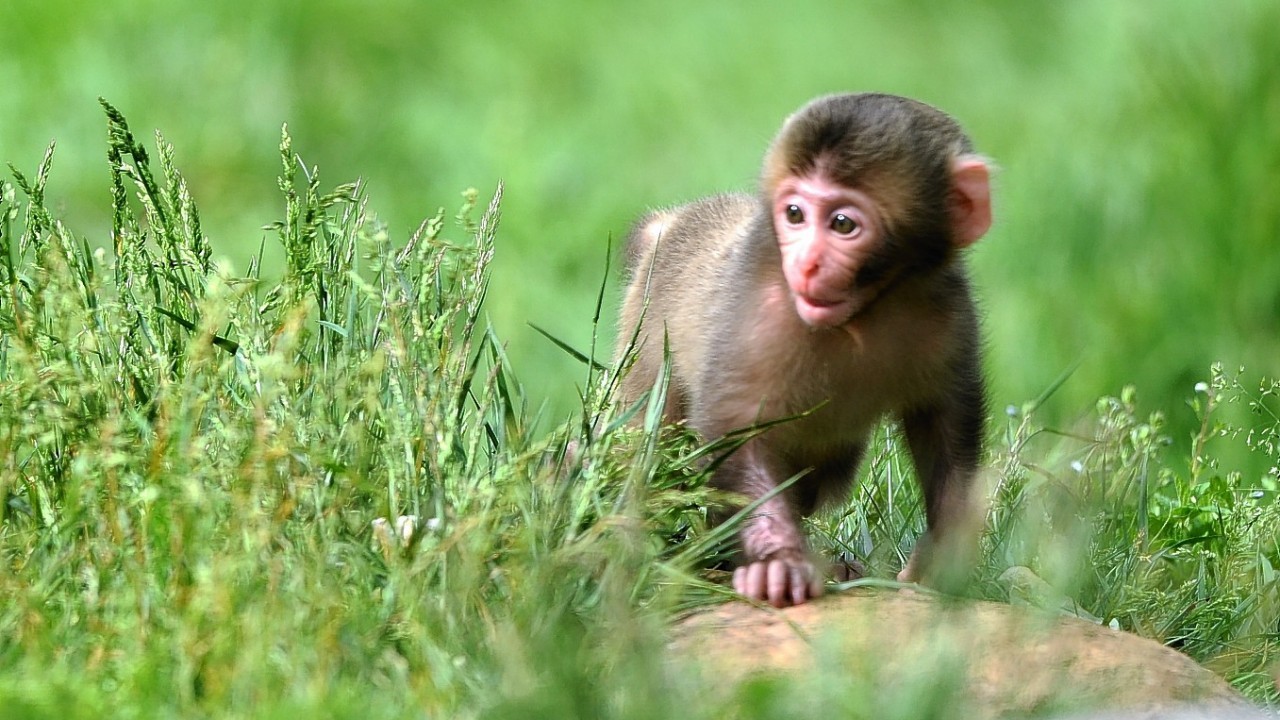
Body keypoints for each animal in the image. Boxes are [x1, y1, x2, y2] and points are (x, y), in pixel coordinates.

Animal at [614, 92, 993, 602]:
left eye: (842, 223)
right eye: (794, 214)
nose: (807, 263)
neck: (866, 313)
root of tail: (670, 222)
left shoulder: (948, 312)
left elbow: (945, 422)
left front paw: (944, 559)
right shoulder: (760, 314)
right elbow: (738, 429)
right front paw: (777, 561)